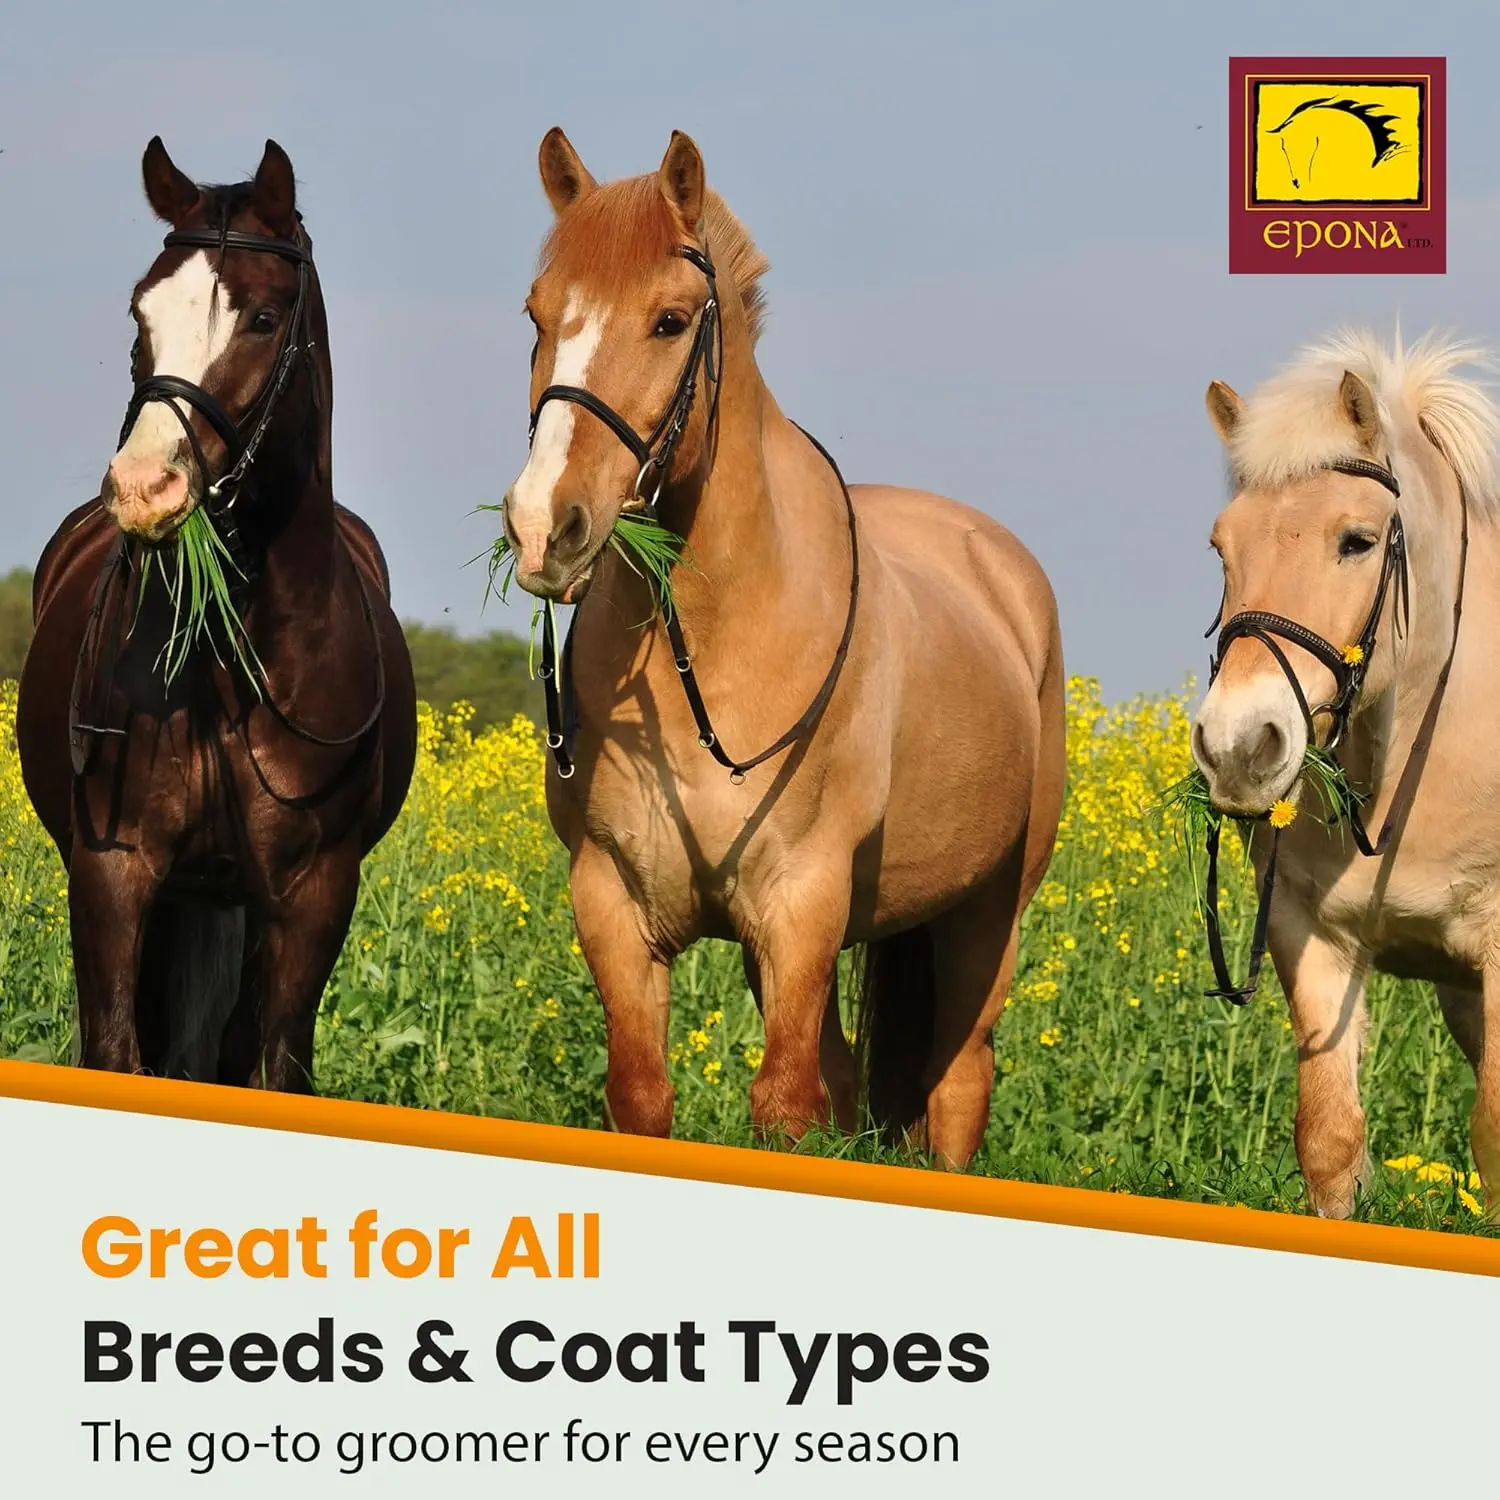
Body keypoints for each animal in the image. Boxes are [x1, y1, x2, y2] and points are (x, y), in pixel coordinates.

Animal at [15, 138, 416, 1091]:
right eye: (141, 313)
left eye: (264, 319)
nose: (143, 489)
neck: (235, 659)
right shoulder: (115, 871)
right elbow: (117, 1050)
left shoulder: (312, 893)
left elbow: (274, 1064)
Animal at [498, 127, 1065, 1168]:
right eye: (538, 314)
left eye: (671, 320)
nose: (542, 527)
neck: (716, 649)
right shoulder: (613, 905)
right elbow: (645, 1095)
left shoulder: (801, 904)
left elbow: (786, 1107)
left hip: (986, 916)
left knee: (959, 1085)